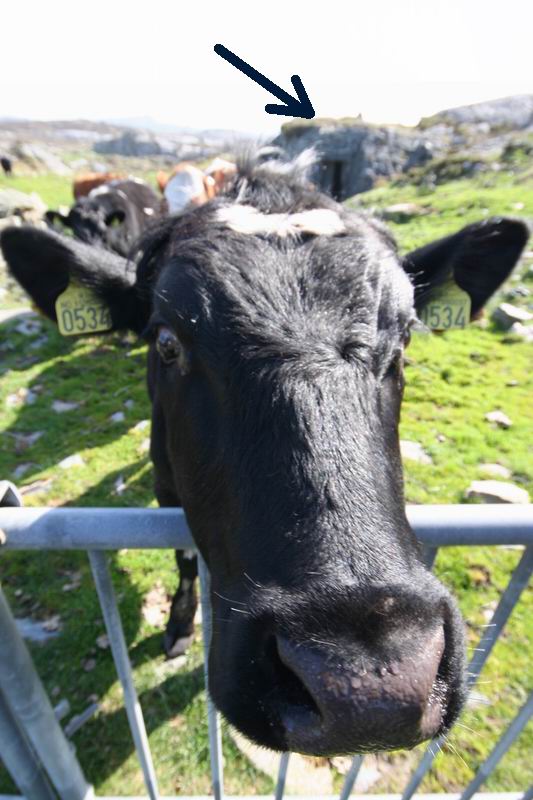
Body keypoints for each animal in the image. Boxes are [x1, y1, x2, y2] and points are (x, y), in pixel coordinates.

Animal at [1, 155, 528, 756]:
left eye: (407, 339)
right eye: (166, 341)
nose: (372, 686)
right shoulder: (164, 485)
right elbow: (184, 559)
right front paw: (179, 625)